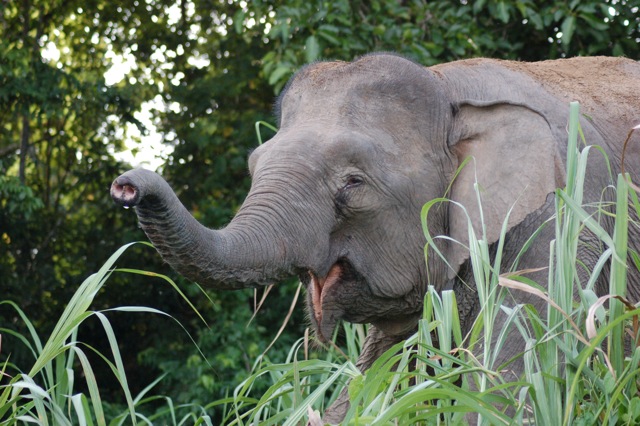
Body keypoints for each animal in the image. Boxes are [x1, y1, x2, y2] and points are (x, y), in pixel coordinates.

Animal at [111, 53, 640, 423]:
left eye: (352, 183)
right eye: (253, 166)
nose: (126, 185)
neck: (450, 89)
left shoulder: (566, 220)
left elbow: (507, 390)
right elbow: (377, 384)